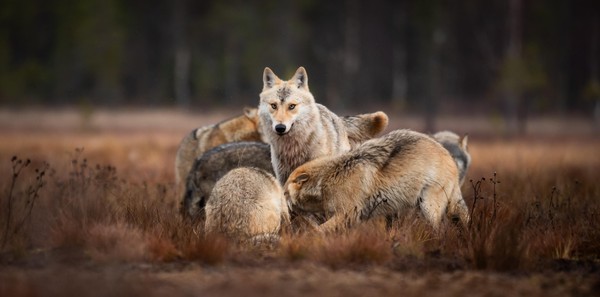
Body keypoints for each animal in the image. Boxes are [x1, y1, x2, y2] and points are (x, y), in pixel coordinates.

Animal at [284, 128, 472, 232]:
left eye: (284, 193)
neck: (327, 178)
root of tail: (449, 157)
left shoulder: (348, 213)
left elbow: (318, 230)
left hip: (428, 207)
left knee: (440, 228)